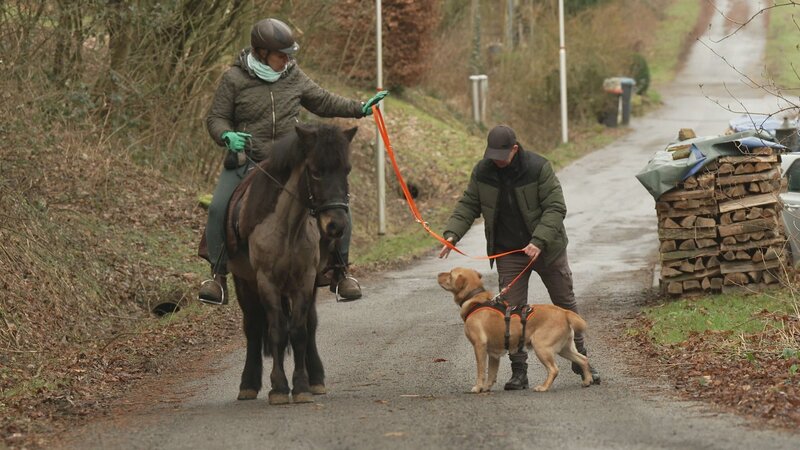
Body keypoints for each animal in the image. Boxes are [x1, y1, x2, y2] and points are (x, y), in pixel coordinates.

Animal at [225, 123, 356, 404]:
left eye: (346, 170)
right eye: (315, 171)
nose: (337, 225)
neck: (287, 228)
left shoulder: (305, 280)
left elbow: (298, 331)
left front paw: (302, 386)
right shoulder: (266, 282)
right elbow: (276, 330)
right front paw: (278, 388)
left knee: (310, 323)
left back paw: (316, 378)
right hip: (244, 283)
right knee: (253, 326)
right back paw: (248, 385)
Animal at [438, 268, 592, 394]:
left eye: (450, 274)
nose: (438, 274)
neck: (475, 300)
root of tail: (564, 312)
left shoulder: (479, 346)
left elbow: (481, 370)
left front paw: (478, 387)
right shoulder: (493, 353)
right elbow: (492, 373)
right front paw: (486, 388)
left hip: (541, 347)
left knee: (554, 369)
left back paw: (543, 387)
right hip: (564, 348)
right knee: (583, 359)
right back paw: (587, 380)